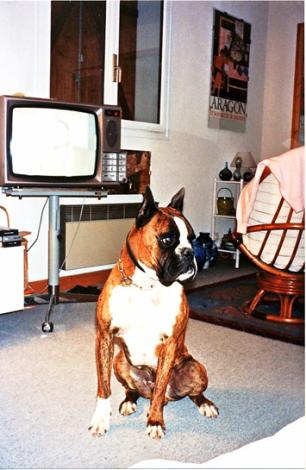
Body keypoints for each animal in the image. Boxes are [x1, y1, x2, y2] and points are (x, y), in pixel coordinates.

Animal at [88, 186, 218, 436]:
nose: (189, 253)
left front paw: (155, 421)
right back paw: (129, 401)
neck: (147, 286)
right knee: (133, 390)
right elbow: (103, 386)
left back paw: (205, 404)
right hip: (120, 361)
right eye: (167, 239)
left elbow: (159, 388)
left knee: (184, 393)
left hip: (196, 368)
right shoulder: (104, 338)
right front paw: (101, 419)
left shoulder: (169, 344)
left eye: (192, 239)